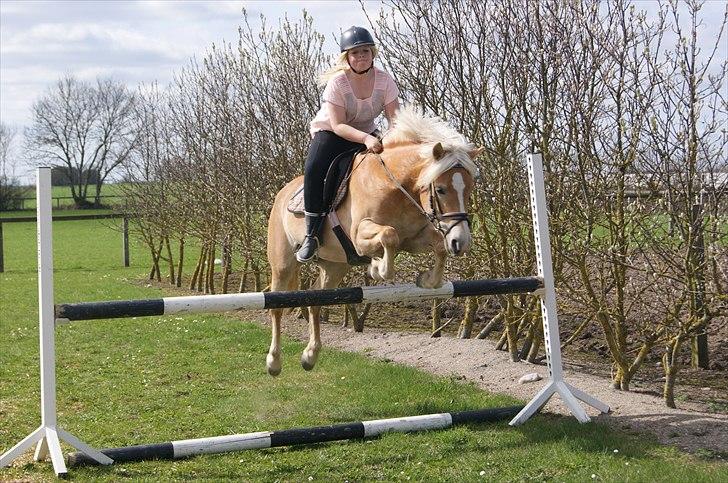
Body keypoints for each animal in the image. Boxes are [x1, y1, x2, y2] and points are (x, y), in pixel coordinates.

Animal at [264, 107, 480, 378]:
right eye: (440, 189)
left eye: (469, 189)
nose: (460, 241)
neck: (394, 185)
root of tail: (281, 193)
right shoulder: (360, 235)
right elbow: (389, 235)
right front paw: (377, 268)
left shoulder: (415, 237)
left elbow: (437, 246)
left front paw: (427, 280)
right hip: (283, 264)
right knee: (276, 306)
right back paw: (274, 362)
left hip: (335, 266)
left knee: (316, 301)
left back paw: (310, 356)